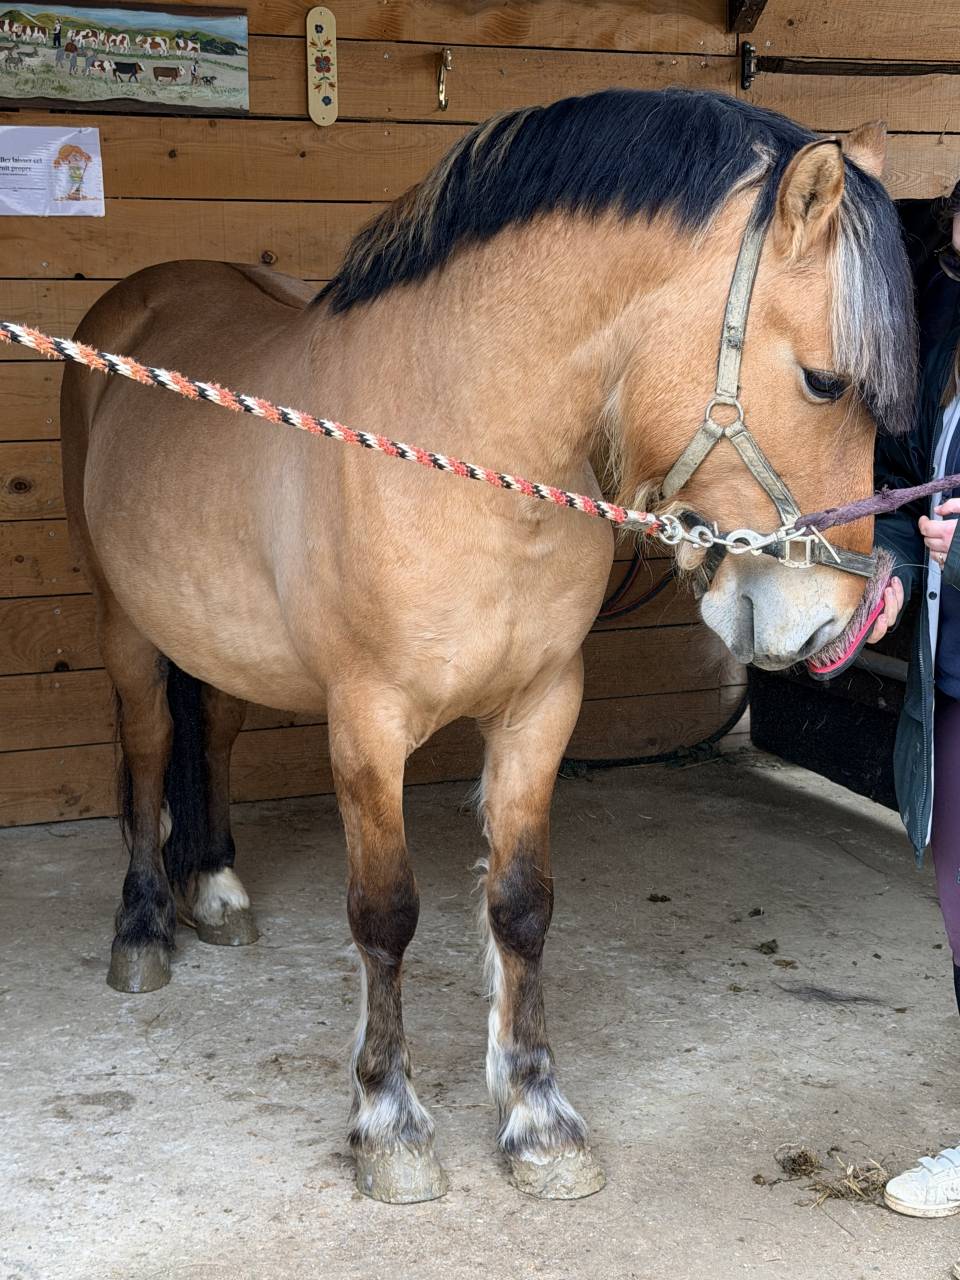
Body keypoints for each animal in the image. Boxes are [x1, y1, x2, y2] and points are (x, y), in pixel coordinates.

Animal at [60, 89, 915, 1204]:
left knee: (215, 732)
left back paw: (215, 887)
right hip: (124, 622)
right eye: (821, 379)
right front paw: (389, 1123)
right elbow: (384, 913)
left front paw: (539, 1118)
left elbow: (521, 906)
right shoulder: (367, 721)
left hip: (218, 637)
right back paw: (143, 928)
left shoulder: (542, 705)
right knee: (152, 742)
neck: (458, 445)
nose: (831, 620)